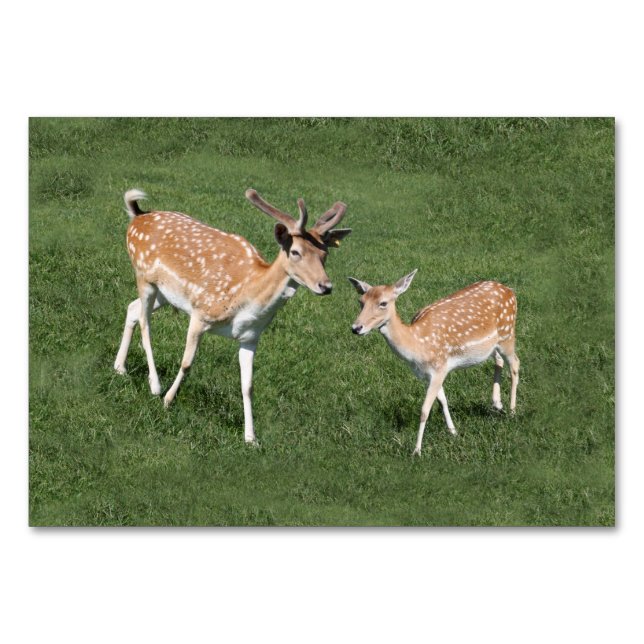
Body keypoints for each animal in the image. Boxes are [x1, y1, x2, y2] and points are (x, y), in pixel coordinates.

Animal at [114, 188, 351, 445]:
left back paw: (120, 367)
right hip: (144, 276)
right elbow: (187, 363)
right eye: (295, 252)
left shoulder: (250, 337)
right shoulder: (201, 313)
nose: (325, 286)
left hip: (165, 293)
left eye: (324, 253)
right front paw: (168, 400)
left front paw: (251, 438)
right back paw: (155, 385)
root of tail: (138, 217)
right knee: (145, 323)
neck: (247, 299)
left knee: (132, 308)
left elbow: (248, 385)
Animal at [348, 271, 520, 455]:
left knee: (515, 364)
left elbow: (424, 410)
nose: (356, 328)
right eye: (361, 301)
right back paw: (497, 404)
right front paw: (453, 431)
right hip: (493, 344)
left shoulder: (439, 367)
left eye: (383, 303)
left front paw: (416, 450)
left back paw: (512, 411)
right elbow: (442, 400)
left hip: (507, 333)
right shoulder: (426, 374)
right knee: (499, 360)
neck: (417, 345)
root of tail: (510, 291)